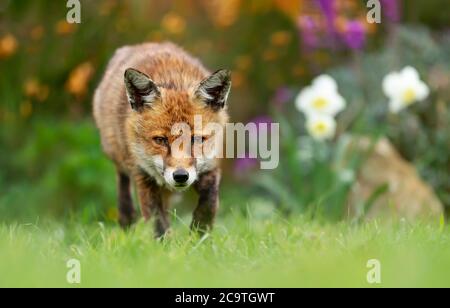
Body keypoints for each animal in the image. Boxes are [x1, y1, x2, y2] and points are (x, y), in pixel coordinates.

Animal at [93, 42, 230, 236]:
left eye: (196, 139)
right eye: (160, 140)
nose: (180, 176)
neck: (174, 80)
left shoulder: (210, 166)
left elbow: (209, 204)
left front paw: (199, 235)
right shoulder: (142, 174)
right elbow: (157, 222)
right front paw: (165, 243)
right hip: (119, 159)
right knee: (123, 190)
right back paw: (127, 225)